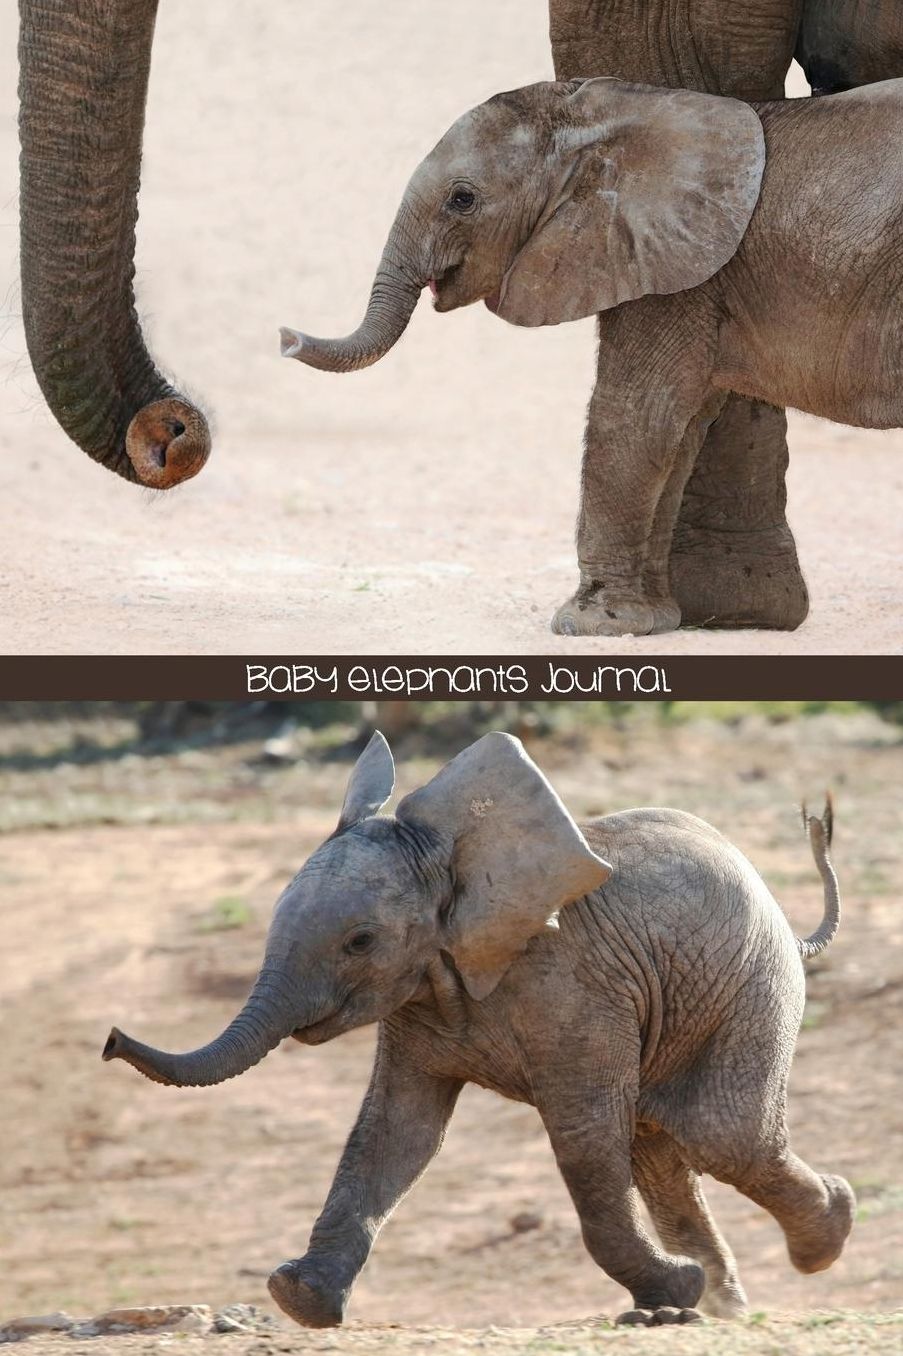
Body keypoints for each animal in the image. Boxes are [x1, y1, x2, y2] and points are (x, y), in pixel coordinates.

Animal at [103, 731, 854, 1327]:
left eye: (360, 941)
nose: (110, 1041)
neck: (453, 864)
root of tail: (790, 926)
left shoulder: (573, 989)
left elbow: (583, 1137)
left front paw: (676, 1289)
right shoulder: (418, 1000)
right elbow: (397, 1131)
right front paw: (299, 1299)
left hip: (751, 985)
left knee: (719, 1134)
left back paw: (822, 1236)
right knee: (662, 1148)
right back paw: (720, 1305)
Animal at [280, 76, 903, 637]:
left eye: (463, 199)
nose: (285, 337)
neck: (605, 113)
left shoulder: (672, 270)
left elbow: (635, 416)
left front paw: (588, 625)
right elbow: (680, 431)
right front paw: (654, 621)